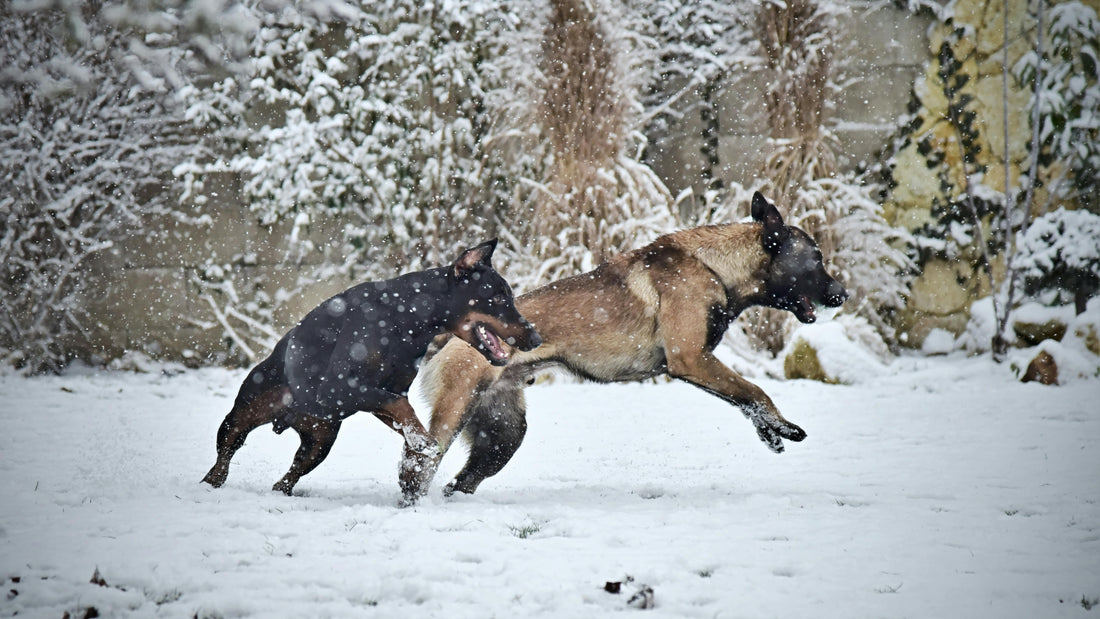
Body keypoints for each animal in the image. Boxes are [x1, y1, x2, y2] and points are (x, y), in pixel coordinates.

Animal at [201, 238, 541, 503]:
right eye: (498, 297)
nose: (536, 338)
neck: (407, 317)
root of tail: (285, 420)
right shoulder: (340, 387)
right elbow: (399, 406)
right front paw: (423, 444)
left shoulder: (381, 394)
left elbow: (403, 415)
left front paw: (418, 453)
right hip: (244, 412)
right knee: (227, 450)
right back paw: (211, 483)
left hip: (320, 441)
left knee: (291, 472)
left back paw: (280, 490)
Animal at [413, 191, 849, 496]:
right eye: (816, 259)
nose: (843, 294)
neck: (715, 266)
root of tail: (451, 334)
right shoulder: (692, 358)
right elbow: (754, 390)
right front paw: (783, 426)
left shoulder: (698, 364)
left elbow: (742, 398)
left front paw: (770, 432)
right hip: (455, 415)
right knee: (419, 465)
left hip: (503, 436)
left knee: (459, 483)